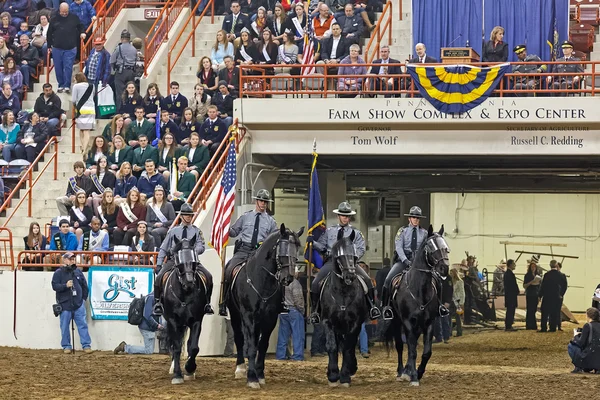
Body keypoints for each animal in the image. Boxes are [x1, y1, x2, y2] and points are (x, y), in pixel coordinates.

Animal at [163, 238, 212, 384]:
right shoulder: (173, 321)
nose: (189, 283)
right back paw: (173, 367)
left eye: (194, 261)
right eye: (179, 263)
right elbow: (177, 347)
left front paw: (190, 368)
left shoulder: (196, 321)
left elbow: (193, 347)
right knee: (174, 344)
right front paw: (177, 374)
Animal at [230, 223, 304, 390]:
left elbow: (262, 346)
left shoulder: (270, 319)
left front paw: (260, 375)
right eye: (283, 249)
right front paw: (252, 378)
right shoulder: (249, 316)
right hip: (235, 315)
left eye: (297, 249)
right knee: (239, 338)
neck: (262, 281)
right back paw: (240, 369)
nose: (288, 277)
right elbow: (251, 346)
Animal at [322, 231, 368, 388]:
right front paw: (333, 375)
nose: (350, 275)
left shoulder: (355, 323)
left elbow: (348, 347)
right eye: (339, 256)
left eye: (353, 256)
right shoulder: (328, 322)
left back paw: (352, 367)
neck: (342, 291)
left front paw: (345, 376)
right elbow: (332, 346)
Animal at [384, 225, 450, 384]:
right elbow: (412, 350)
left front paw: (418, 372)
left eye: (445, 248)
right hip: (396, 321)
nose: (444, 268)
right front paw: (413, 376)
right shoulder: (408, 322)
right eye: (431, 248)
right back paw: (401, 371)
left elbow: (426, 352)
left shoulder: (429, 323)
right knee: (401, 346)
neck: (418, 290)